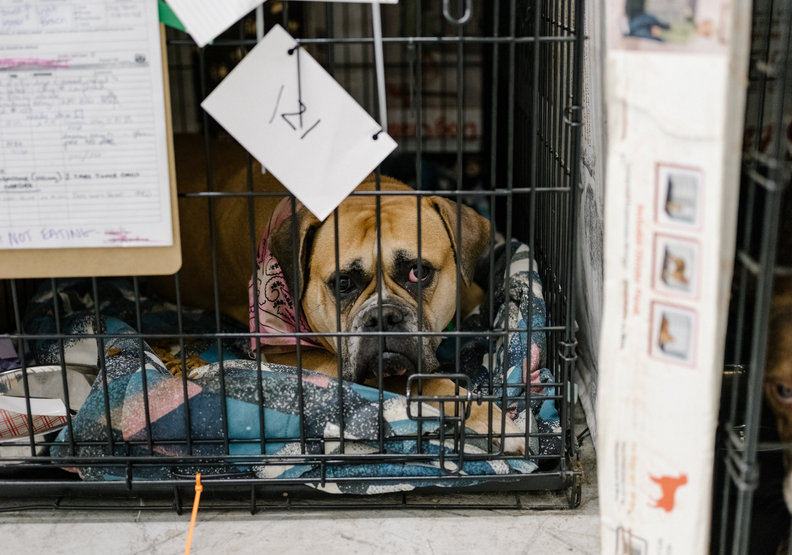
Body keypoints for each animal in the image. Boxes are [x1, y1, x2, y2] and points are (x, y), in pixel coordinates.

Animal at [156, 137, 524, 454]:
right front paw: (493, 421)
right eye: (343, 282)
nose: (382, 317)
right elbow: (429, 385)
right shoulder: (288, 353)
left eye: (418, 272)